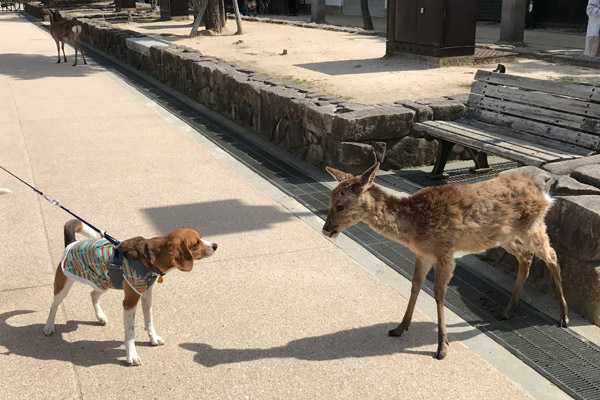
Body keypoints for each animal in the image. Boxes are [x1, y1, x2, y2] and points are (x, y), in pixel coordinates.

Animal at [44, 219, 218, 366]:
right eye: (196, 243)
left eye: (201, 238)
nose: (215, 245)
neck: (148, 257)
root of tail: (71, 243)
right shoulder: (129, 302)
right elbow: (130, 332)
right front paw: (131, 355)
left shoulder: (146, 296)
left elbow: (149, 321)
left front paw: (153, 338)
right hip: (64, 285)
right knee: (54, 305)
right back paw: (49, 326)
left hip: (103, 282)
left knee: (93, 295)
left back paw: (100, 316)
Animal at [324, 162, 568, 360]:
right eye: (330, 200)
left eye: (340, 205)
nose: (327, 229)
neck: (414, 229)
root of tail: (544, 192)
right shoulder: (423, 254)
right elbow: (415, 285)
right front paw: (400, 327)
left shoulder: (444, 252)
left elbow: (438, 294)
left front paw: (442, 348)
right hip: (503, 235)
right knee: (525, 257)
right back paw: (508, 311)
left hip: (533, 225)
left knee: (552, 256)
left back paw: (563, 316)